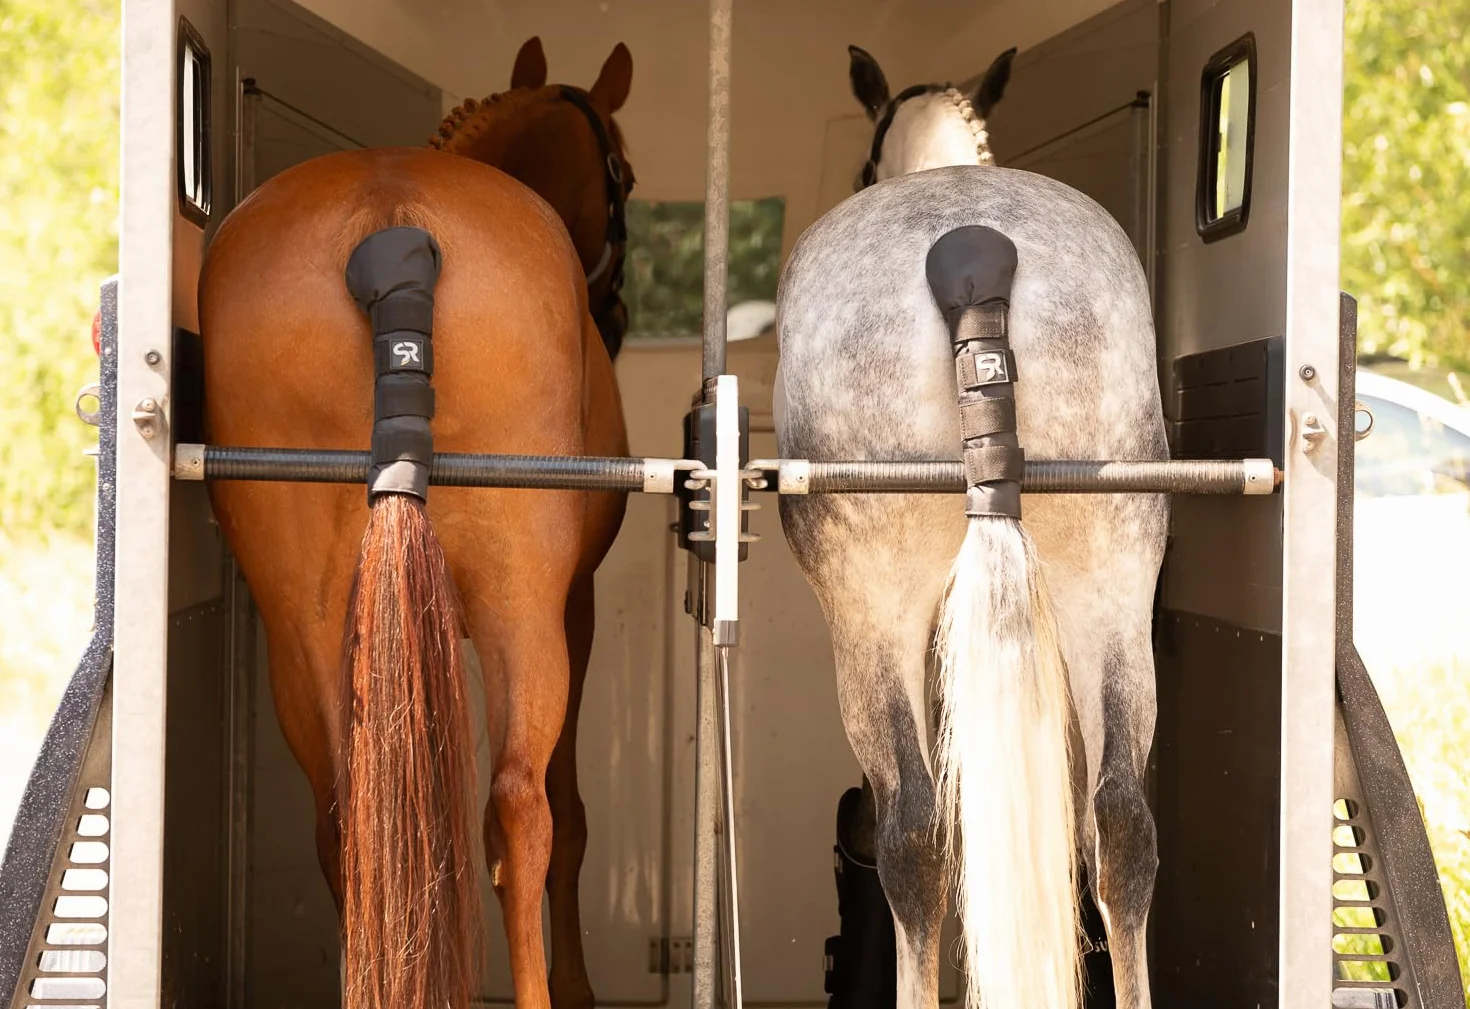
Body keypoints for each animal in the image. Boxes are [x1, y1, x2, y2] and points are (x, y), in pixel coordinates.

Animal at [197, 38, 635, 1009]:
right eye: (622, 172)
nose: (620, 316)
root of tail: (389, 219)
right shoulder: (579, 605)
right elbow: (569, 812)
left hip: (302, 621)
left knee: (346, 820)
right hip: (521, 603)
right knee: (521, 806)